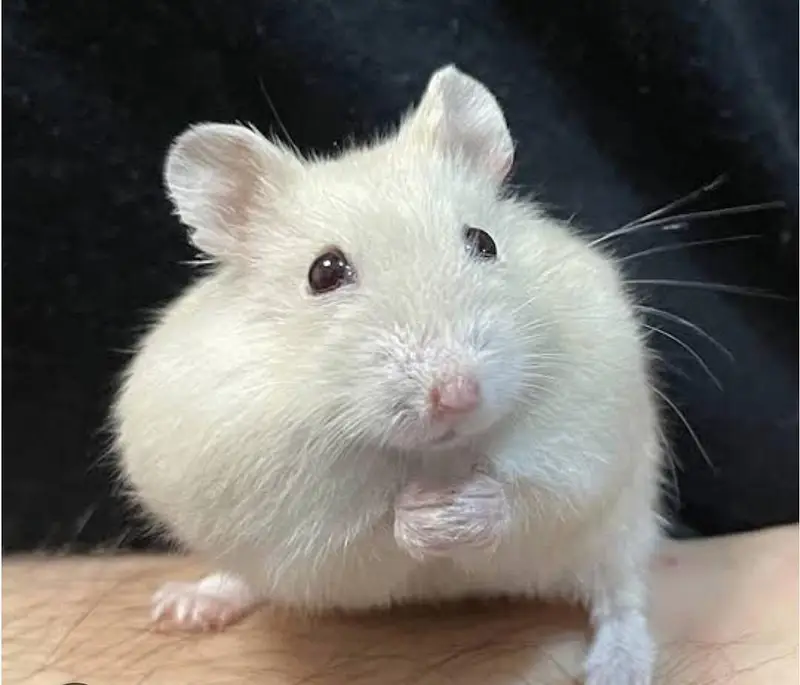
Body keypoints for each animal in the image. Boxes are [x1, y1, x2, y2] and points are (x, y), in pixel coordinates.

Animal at [113, 65, 662, 685]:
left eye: (484, 241)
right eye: (324, 272)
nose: (457, 395)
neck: (435, 456)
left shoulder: (583, 440)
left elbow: (529, 497)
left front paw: (460, 509)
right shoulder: (294, 518)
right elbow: (364, 530)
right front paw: (427, 514)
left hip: (622, 528)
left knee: (621, 597)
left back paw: (619, 667)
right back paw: (185, 606)